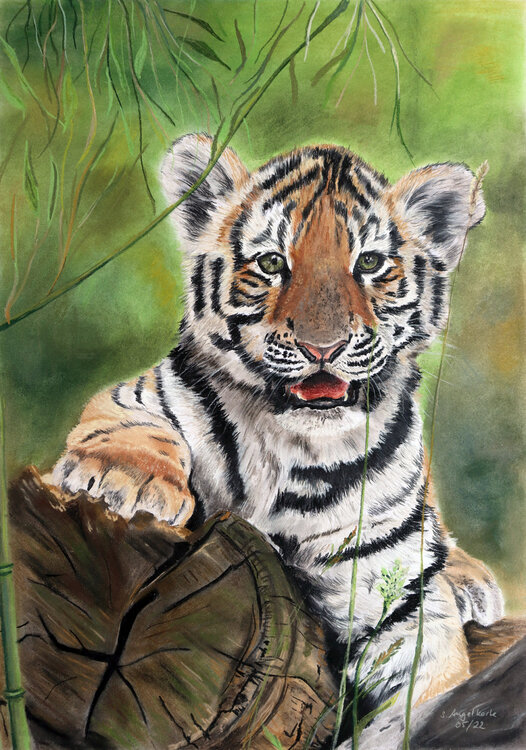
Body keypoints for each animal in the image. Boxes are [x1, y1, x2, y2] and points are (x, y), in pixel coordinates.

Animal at [51, 134, 503, 738]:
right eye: (270, 263)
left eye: (369, 263)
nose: (323, 348)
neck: (290, 442)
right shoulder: (136, 395)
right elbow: (137, 429)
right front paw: (122, 483)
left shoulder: (396, 598)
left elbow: (417, 700)